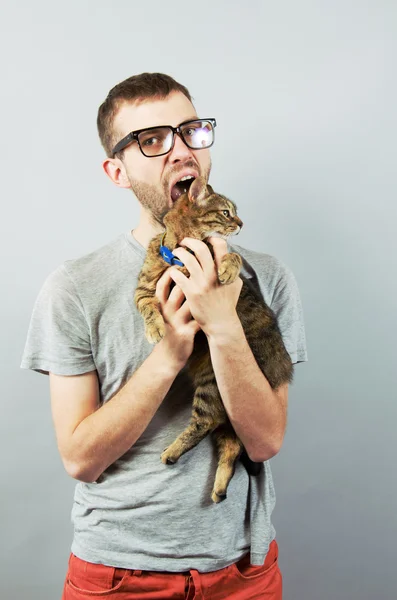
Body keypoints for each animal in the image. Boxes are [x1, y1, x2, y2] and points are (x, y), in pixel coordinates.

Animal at [135, 177, 292, 502]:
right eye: (226, 212)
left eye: (235, 213)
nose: (242, 223)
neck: (181, 248)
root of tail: (280, 364)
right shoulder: (142, 289)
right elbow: (149, 307)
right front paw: (155, 329)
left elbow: (233, 254)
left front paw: (227, 269)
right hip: (223, 402)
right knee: (228, 443)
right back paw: (216, 485)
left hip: (215, 387)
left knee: (206, 425)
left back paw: (174, 453)